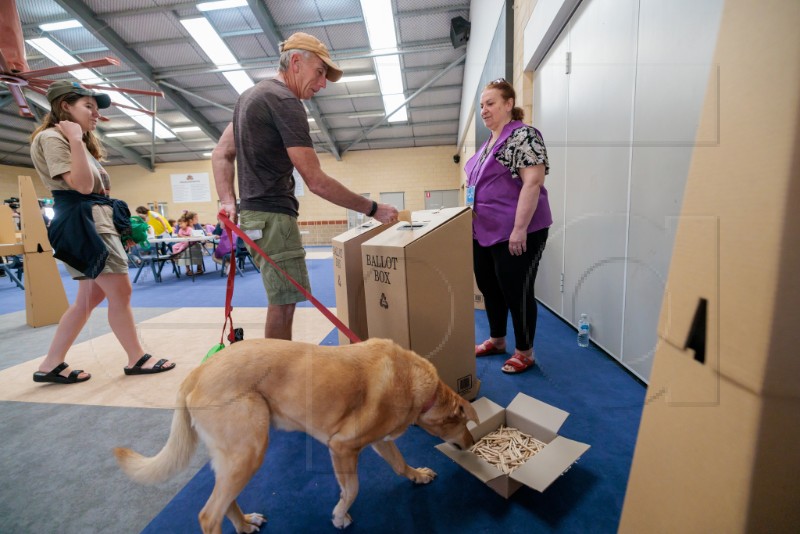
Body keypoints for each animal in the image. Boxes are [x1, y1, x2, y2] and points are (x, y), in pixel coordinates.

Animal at [115, 338, 478, 532]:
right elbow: (352, 490)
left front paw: (418, 475)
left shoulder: (379, 442)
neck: (417, 385)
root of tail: (197, 373)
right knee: (208, 515)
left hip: (234, 458)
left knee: (224, 502)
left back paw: (245, 523)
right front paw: (340, 516)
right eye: (465, 424)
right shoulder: (341, 447)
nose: (472, 445)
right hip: (250, 450)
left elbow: (400, 464)